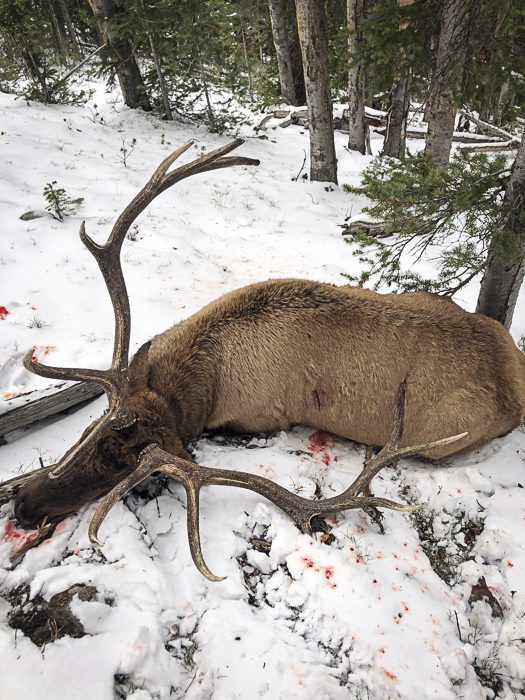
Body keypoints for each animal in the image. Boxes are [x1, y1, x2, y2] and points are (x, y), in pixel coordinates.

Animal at [1, 139, 525, 581]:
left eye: (123, 468)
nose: (24, 508)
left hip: (436, 438)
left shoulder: (258, 418)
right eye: (91, 433)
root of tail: (514, 378)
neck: (202, 379)